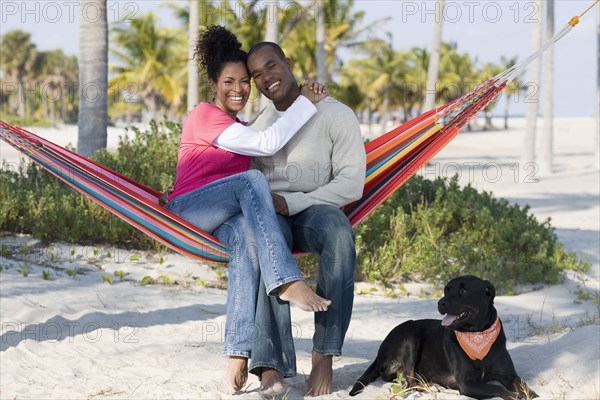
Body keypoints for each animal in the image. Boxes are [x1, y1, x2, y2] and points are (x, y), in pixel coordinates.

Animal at [350, 276, 536, 400]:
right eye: (446, 290)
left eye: (463, 290)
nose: (441, 302)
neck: (477, 334)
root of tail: (379, 352)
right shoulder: (467, 383)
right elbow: (496, 389)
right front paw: (514, 395)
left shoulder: (509, 375)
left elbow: (523, 385)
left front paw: (531, 394)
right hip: (410, 331)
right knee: (406, 381)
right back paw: (427, 387)